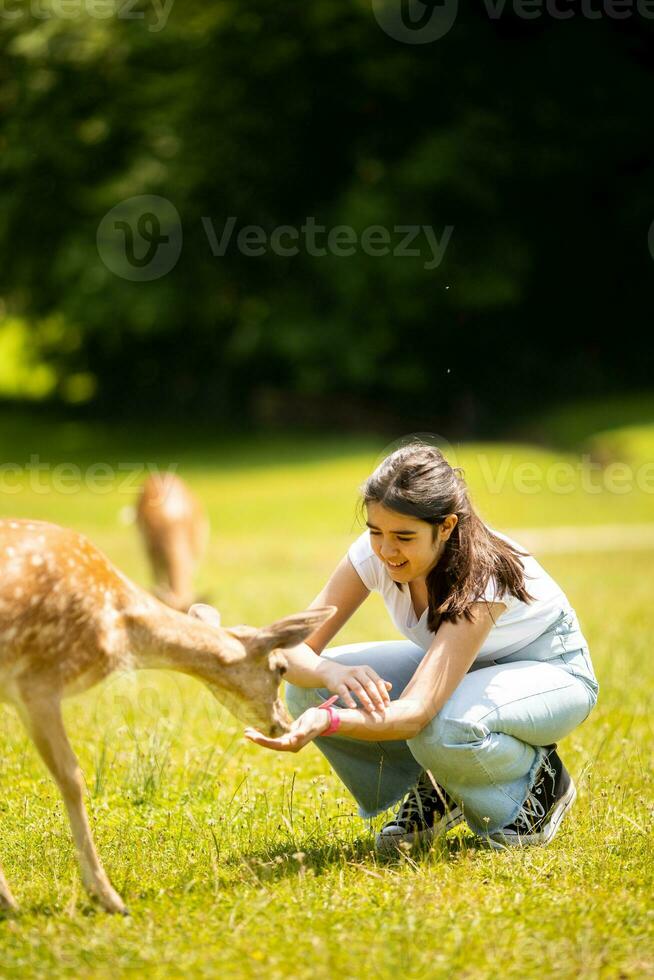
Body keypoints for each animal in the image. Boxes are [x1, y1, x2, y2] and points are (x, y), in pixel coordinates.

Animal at [0, 520, 338, 920]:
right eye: (281, 667)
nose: (283, 724)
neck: (120, 627)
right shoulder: (37, 680)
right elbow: (71, 778)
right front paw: (107, 897)